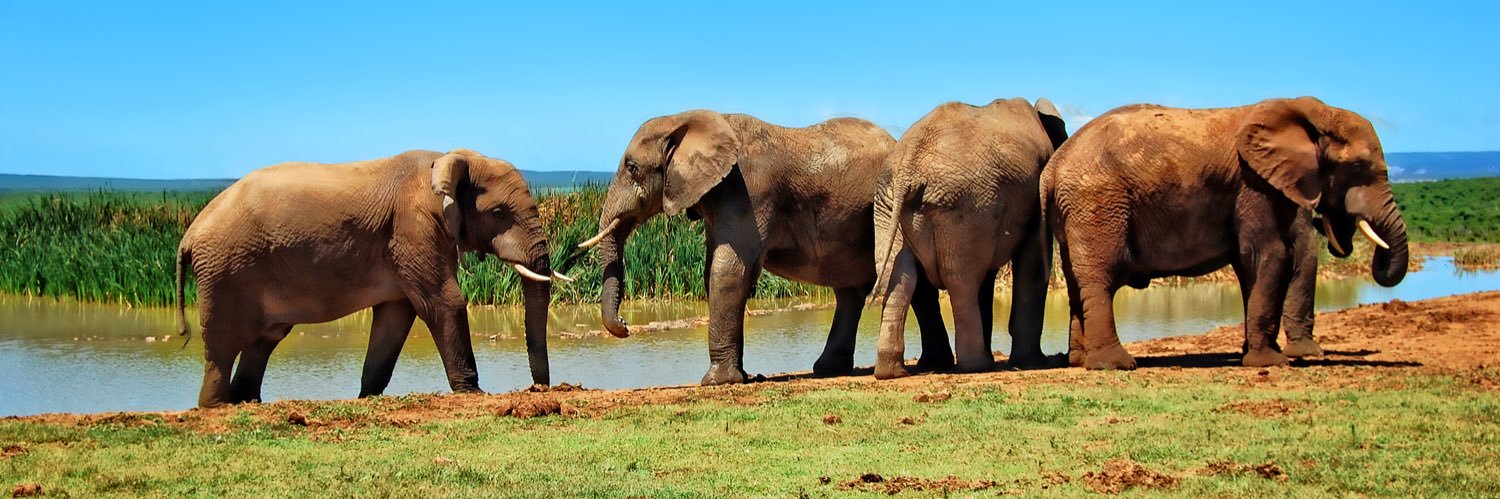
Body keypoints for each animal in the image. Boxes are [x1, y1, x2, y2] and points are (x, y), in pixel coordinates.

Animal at [174, 148, 567, 407]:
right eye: (499, 213)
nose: (540, 390)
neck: (447, 158)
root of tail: (189, 235)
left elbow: (394, 317)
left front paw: (366, 396)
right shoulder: (414, 226)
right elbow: (444, 301)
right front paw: (474, 393)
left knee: (264, 340)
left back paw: (246, 402)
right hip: (225, 271)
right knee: (223, 347)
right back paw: (218, 407)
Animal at [578, 109, 947, 385]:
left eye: (632, 168)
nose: (626, 324)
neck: (688, 118)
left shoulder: (749, 190)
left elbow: (728, 270)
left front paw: (717, 382)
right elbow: (718, 270)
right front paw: (739, 377)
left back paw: (929, 364)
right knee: (851, 290)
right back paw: (834, 368)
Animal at [872, 97, 1068, 379]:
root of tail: (909, 167)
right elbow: (1032, 263)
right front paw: (1034, 362)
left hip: (890, 206)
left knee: (897, 275)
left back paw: (892, 371)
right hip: (964, 205)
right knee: (961, 280)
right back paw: (977, 365)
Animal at [1043, 97, 1408, 370]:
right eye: (1358, 167)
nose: (1332, 225)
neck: (1308, 112)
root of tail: (1053, 167)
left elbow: (1252, 267)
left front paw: (1260, 354)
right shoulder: (1254, 185)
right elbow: (1270, 255)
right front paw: (1270, 362)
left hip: (1078, 210)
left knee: (1077, 283)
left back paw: (1080, 361)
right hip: (1098, 203)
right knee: (1099, 279)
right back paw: (1116, 364)